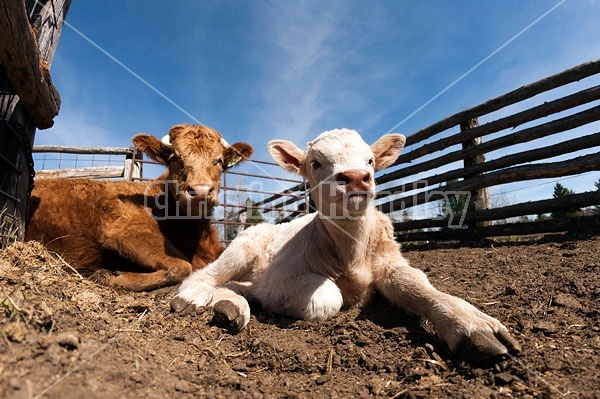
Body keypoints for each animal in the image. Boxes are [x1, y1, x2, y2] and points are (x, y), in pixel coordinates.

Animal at [172, 130, 520, 364]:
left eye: (370, 160)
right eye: (315, 163)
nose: (355, 177)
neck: (351, 255)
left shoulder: (389, 262)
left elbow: (416, 283)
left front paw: (470, 323)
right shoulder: (279, 277)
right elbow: (329, 296)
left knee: (232, 284)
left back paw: (230, 306)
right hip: (244, 246)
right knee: (210, 276)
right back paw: (194, 298)